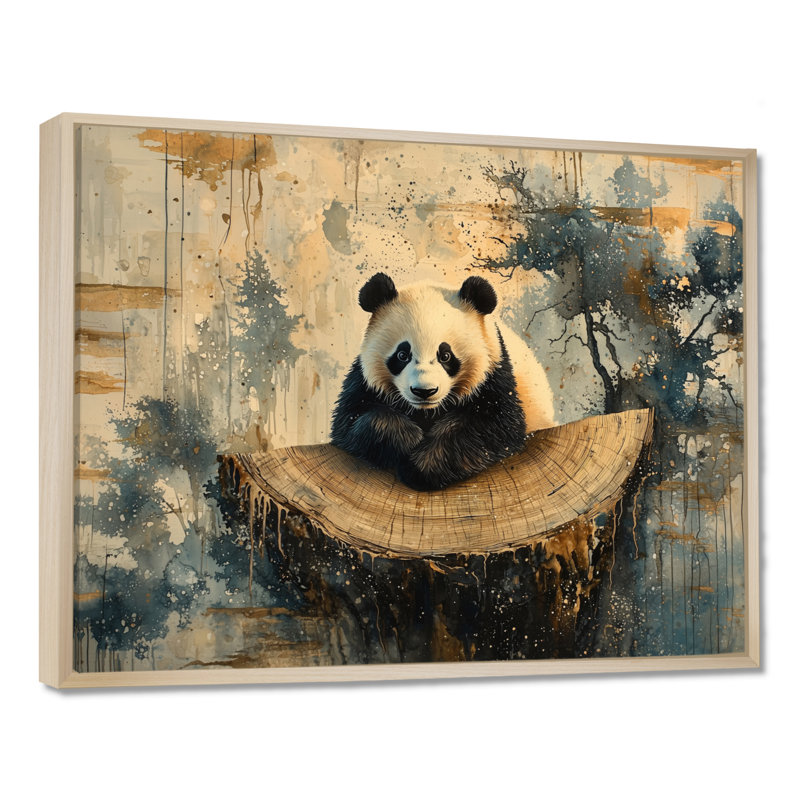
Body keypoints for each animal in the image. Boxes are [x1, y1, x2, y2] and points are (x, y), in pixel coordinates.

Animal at [330, 272, 555, 491]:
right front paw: (407, 439)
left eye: (445, 355)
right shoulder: (363, 384)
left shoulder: (495, 376)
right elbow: (351, 425)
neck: (426, 412)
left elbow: (493, 429)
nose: (424, 391)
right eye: (402, 354)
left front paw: (420, 470)